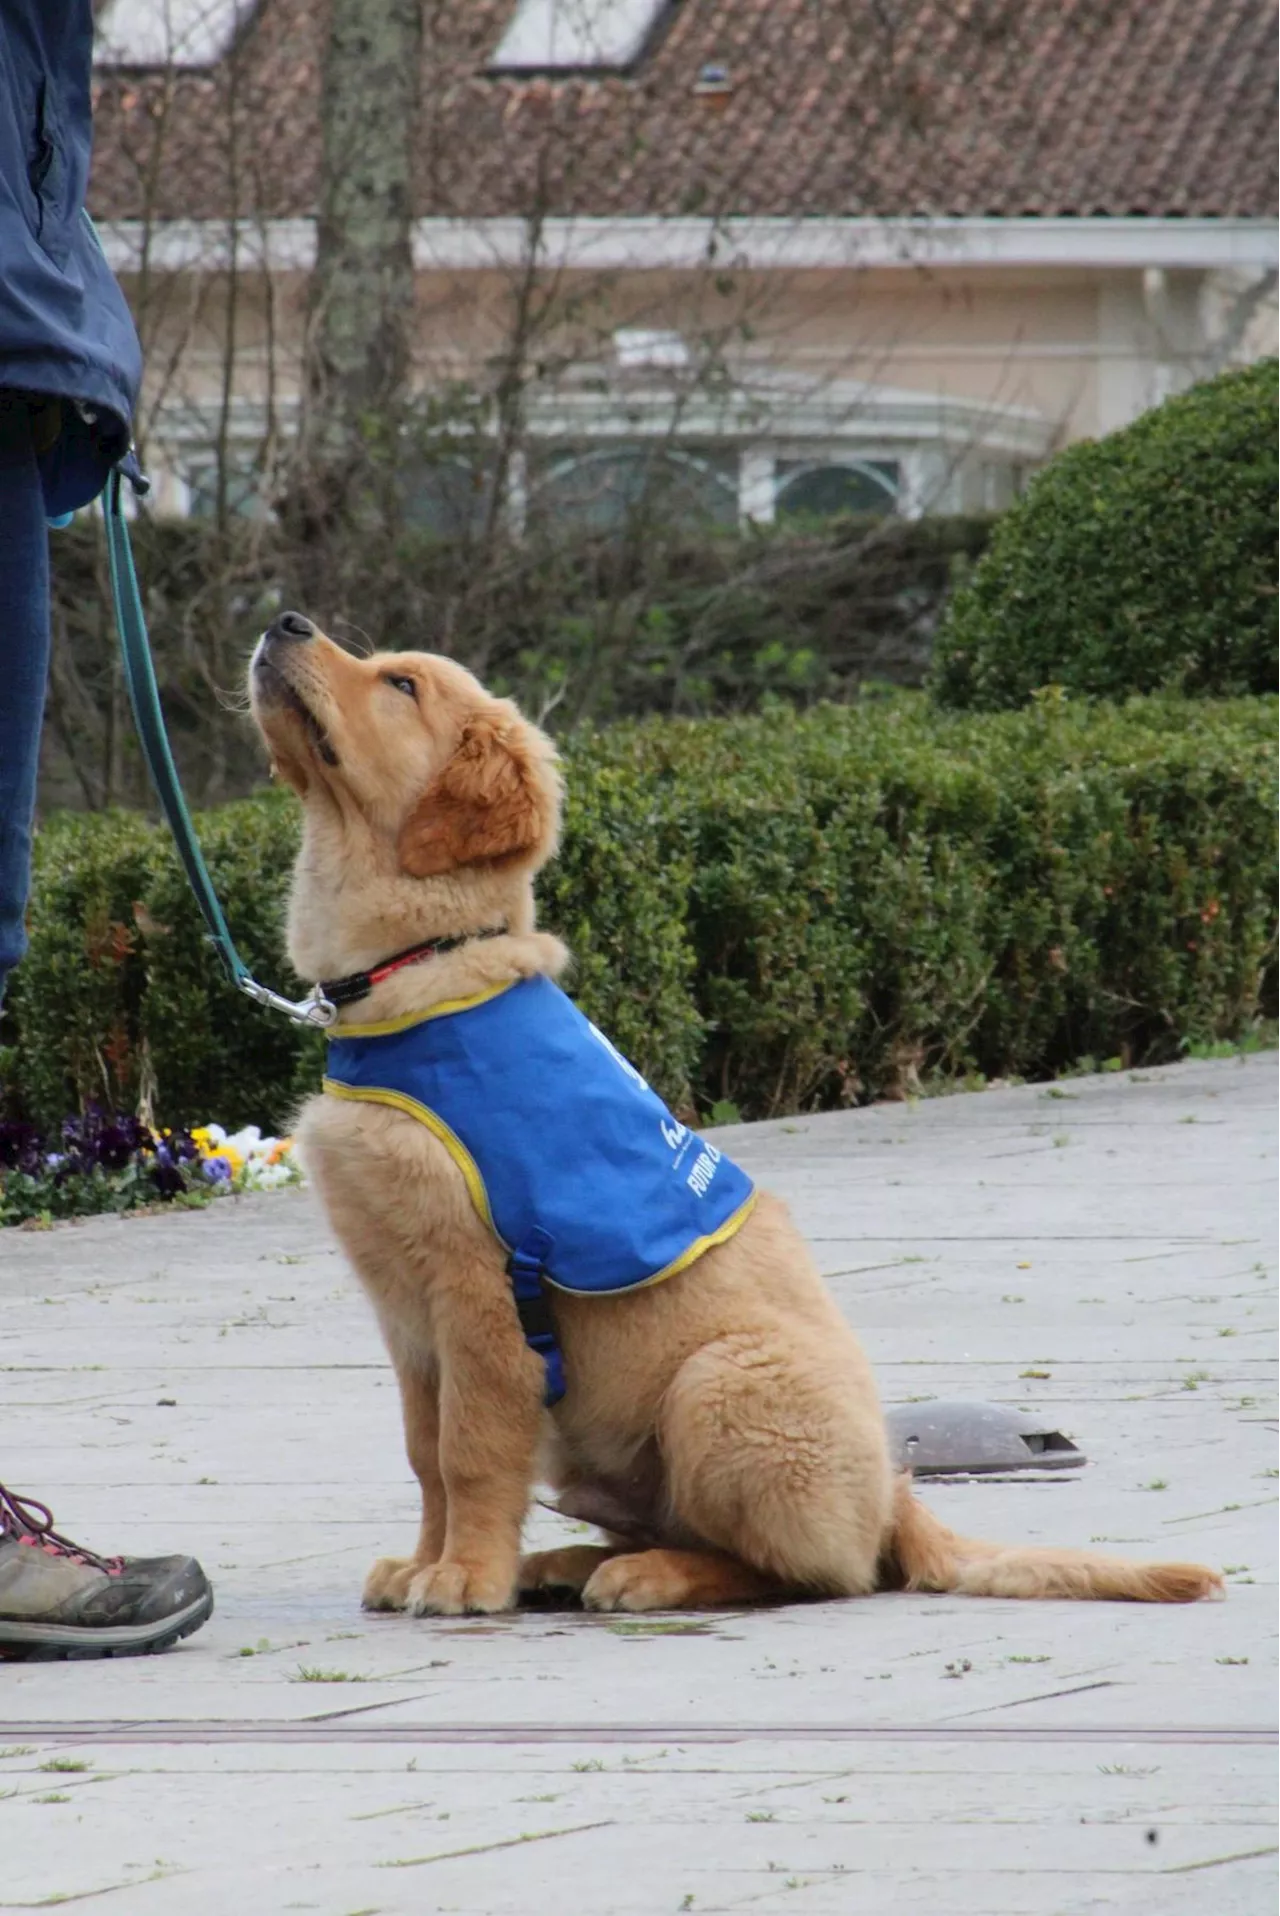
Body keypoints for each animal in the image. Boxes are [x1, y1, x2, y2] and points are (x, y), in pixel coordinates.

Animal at [247, 616, 1218, 1617]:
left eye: (400, 685)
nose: (286, 622)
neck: (414, 974)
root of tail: (897, 1495)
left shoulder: (479, 1296)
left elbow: (468, 1451)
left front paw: (465, 1578)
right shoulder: (406, 1316)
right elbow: (423, 1453)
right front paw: (424, 1564)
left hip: (719, 1382)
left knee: (805, 1575)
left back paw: (641, 1576)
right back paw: (569, 1564)